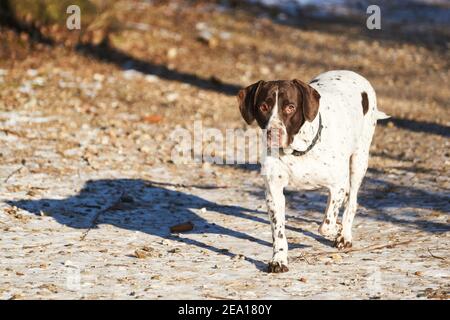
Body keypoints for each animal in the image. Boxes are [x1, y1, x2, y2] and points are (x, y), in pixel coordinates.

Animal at [237, 70, 388, 272]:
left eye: (290, 107)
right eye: (263, 106)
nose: (273, 134)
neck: (298, 151)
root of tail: (351, 73)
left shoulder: (337, 184)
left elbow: (325, 225)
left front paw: (339, 230)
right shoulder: (274, 192)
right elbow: (279, 233)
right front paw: (279, 259)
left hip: (359, 159)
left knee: (352, 202)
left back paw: (345, 235)